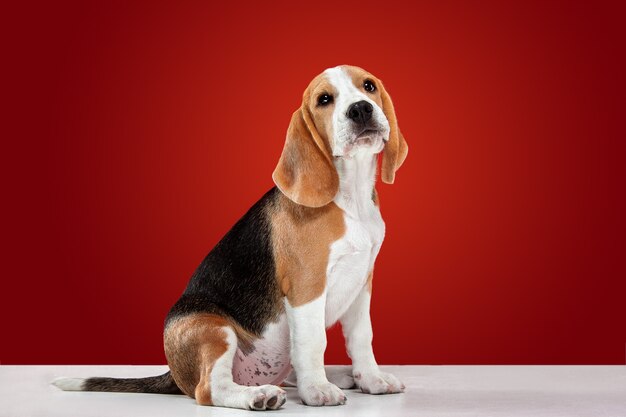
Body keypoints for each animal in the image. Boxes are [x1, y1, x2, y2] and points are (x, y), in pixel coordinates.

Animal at [51, 65, 408, 410]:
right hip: (214, 330)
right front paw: (318, 390)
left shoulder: (362, 283)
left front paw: (371, 379)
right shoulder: (306, 286)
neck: (351, 197)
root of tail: (173, 373)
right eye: (324, 99)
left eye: (368, 86)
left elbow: (361, 338)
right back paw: (259, 396)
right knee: (210, 389)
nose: (360, 109)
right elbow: (313, 342)